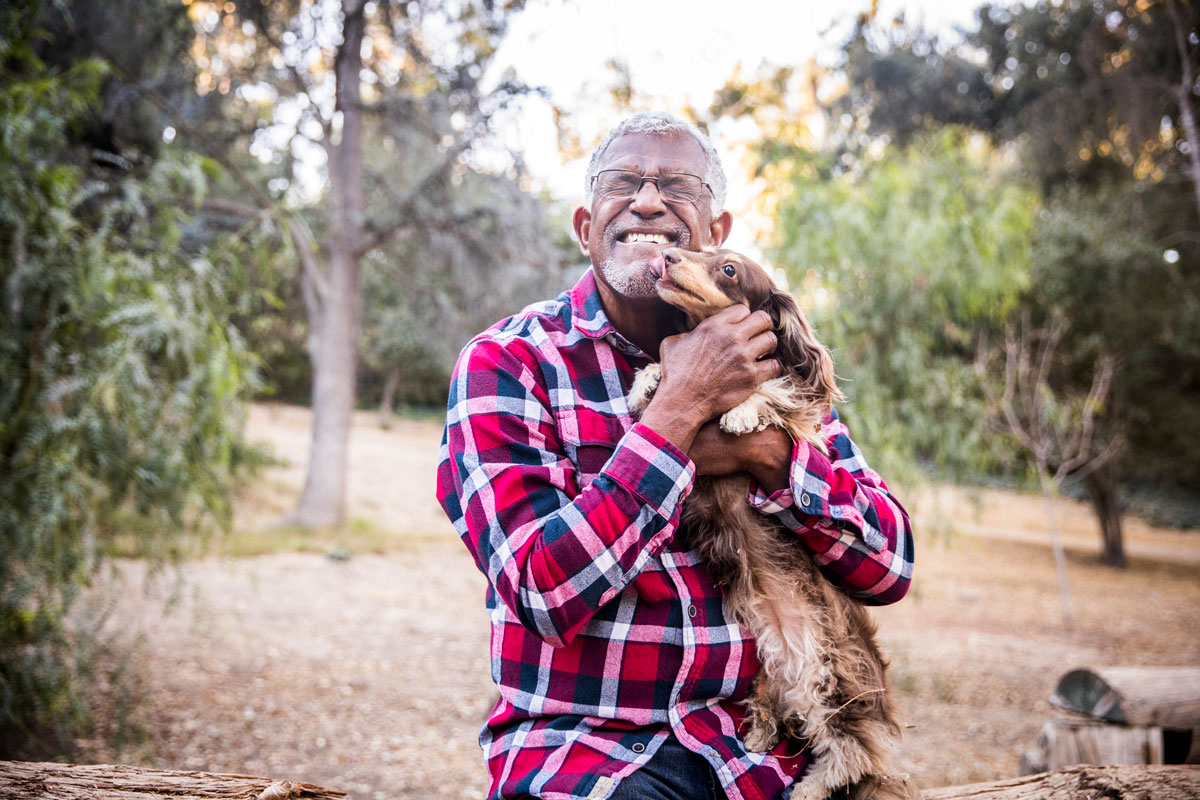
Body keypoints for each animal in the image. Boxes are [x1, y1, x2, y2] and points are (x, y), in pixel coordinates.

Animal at [628, 247, 916, 796]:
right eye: (701, 252)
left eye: (729, 269)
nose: (668, 254)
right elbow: (661, 374)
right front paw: (647, 381)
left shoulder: (801, 422)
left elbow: (774, 394)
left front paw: (742, 411)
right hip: (773, 664)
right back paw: (760, 727)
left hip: (828, 675)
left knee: (854, 750)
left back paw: (809, 786)